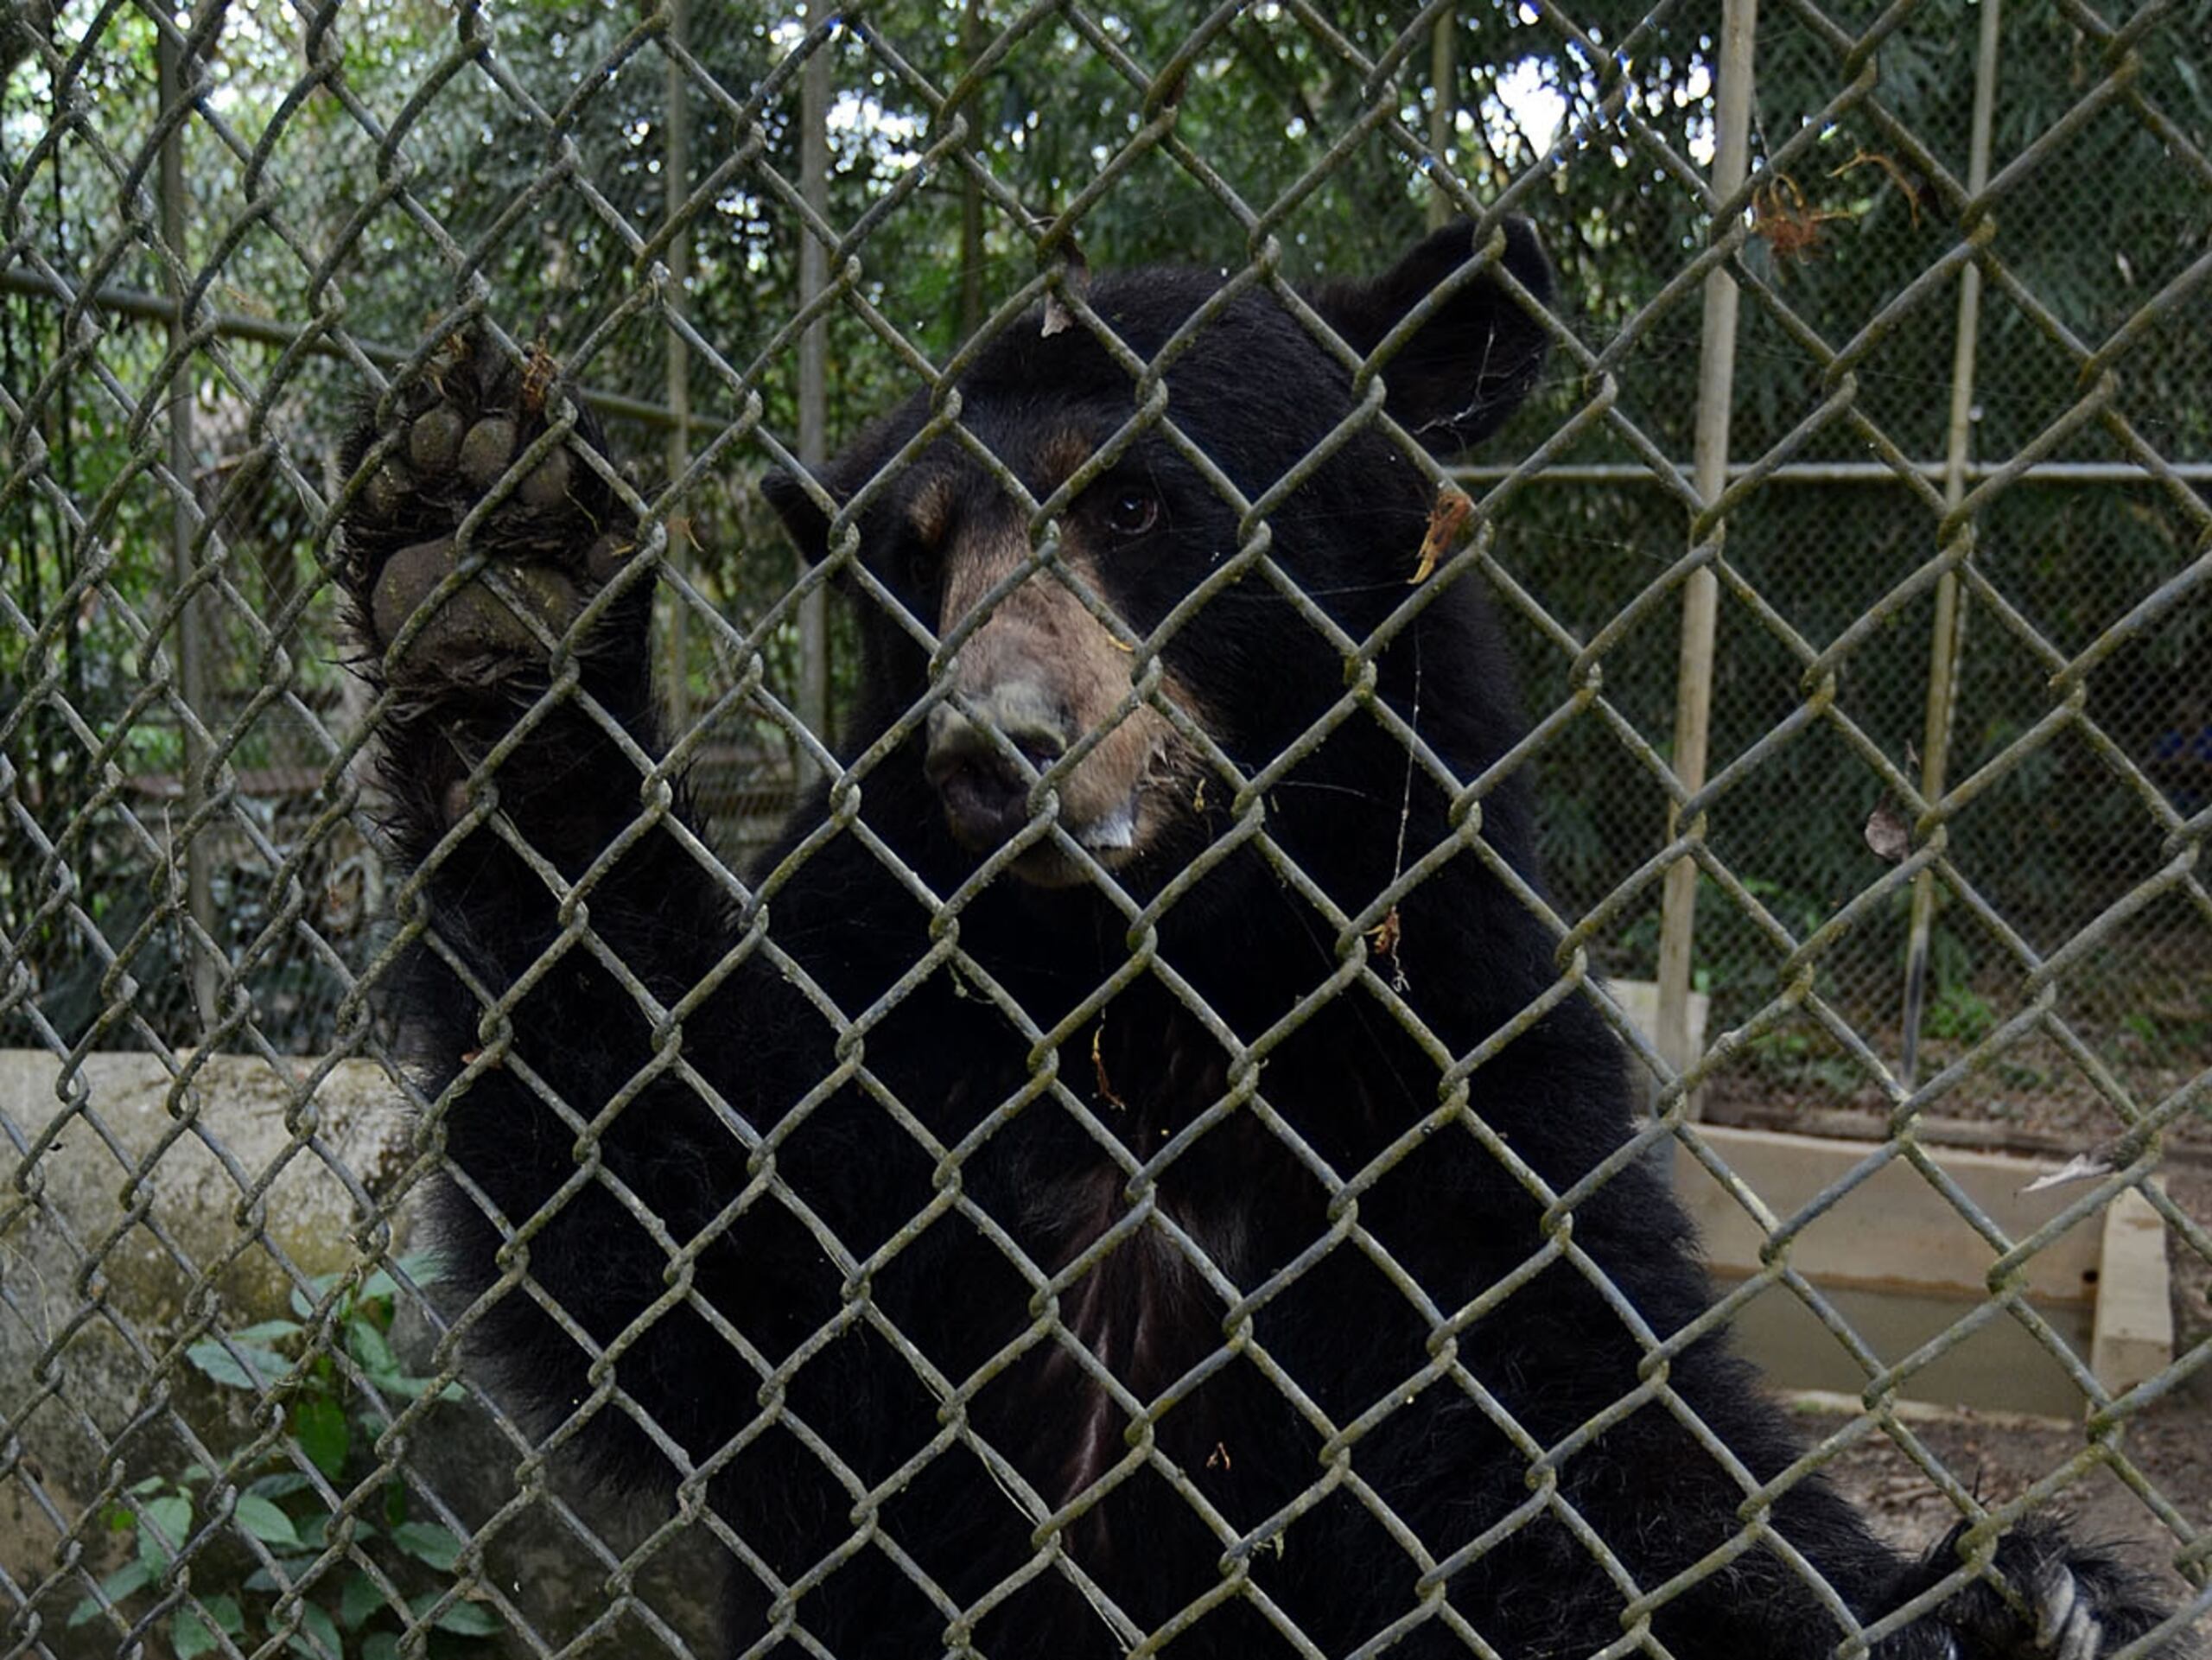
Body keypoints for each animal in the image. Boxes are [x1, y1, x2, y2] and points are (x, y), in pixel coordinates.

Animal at [336, 224, 2185, 1660]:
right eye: (913, 556)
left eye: (1139, 503)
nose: (988, 749)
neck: (1151, 981)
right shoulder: (886, 1007)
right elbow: (697, 1245)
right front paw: (492, 571)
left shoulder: (1449, 1040)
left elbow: (1573, 1418)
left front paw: (2005, 1596)